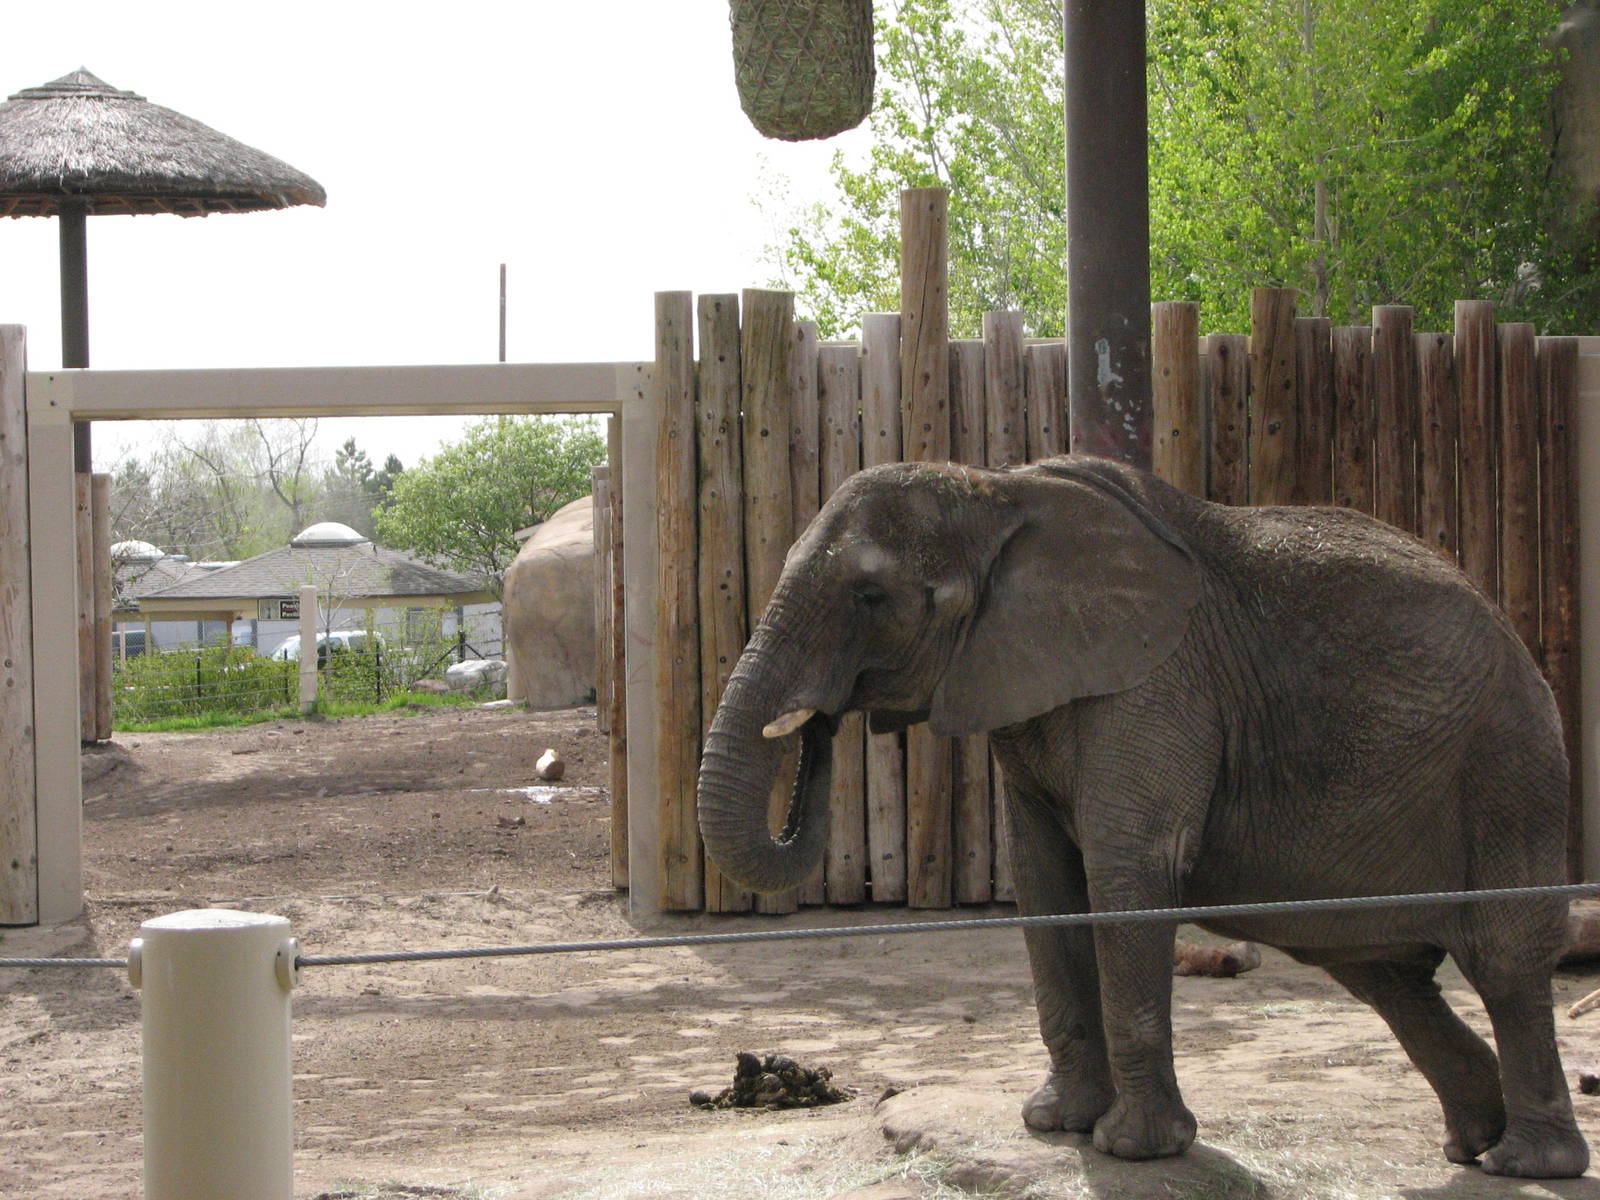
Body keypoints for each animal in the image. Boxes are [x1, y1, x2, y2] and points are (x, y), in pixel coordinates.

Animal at [696, 454, 1590, 1178]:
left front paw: (1132, 1148)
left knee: (1502, 960)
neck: (998, 490)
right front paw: (1054, 1125)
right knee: (1381, 972)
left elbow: (1127, 869)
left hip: (1509, 766)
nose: (818, 722)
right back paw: (1471, 1143)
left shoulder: (1157, 682)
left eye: (872, 595)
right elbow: (1043, 882)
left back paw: (1526, 1163)